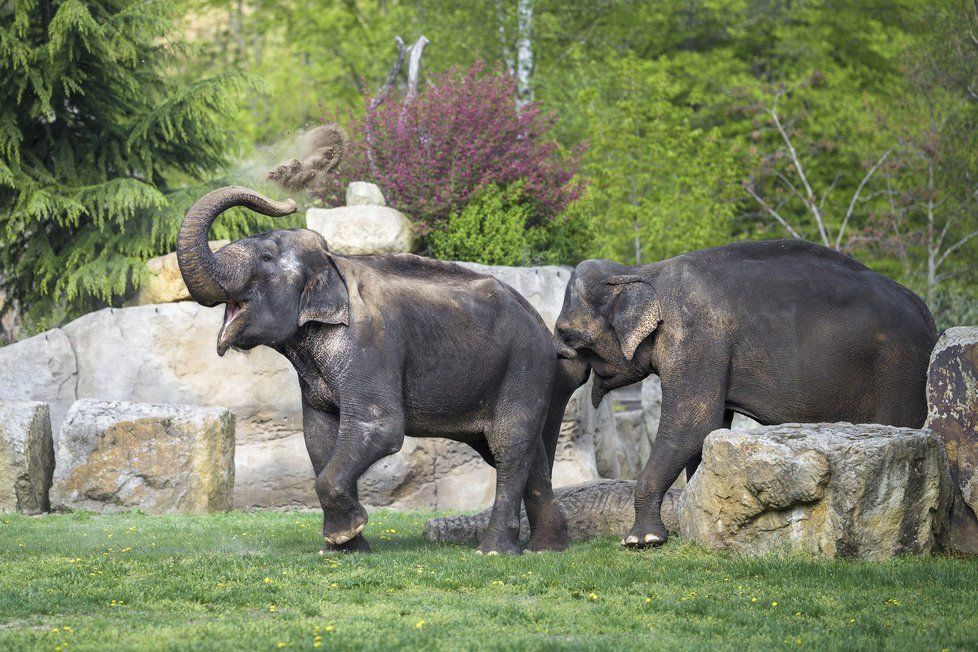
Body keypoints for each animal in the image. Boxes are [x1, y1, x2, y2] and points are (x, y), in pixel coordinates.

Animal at [178, 186, 584, 552]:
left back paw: (494, 551)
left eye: (265, 257)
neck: (332, 261)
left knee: (508, 446)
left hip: (524, 365)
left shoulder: (371, 342)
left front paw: (346, 533)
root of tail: (546, 331)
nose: (289, 203)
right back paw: (548, 547)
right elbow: (319, 437)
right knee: (525, 451)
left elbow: (380, 426)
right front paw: (344, 549)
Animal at [552, 239, 936, 552]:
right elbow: (706, 431)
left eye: (567, 334)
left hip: (899, 373)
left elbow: (692, 425)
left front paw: (641, 541)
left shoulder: (696, 337)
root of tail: (928, 317)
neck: (642, 272)